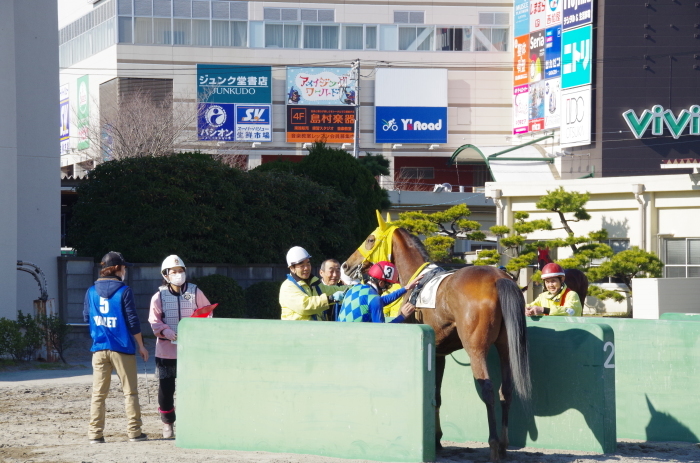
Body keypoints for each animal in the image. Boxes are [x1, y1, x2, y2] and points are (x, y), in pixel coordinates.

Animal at [344, 226, 532, 463]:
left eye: (370, 239)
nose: (346, 265)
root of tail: (498, 277)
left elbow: (435, 394)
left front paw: (435, 439)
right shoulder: (439, 354)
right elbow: (437, 396)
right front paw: (437, 438)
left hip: (476, 350)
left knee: (488, 390)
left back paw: (494, 445)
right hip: (505, 347)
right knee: (505, 390)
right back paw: (505, 445)